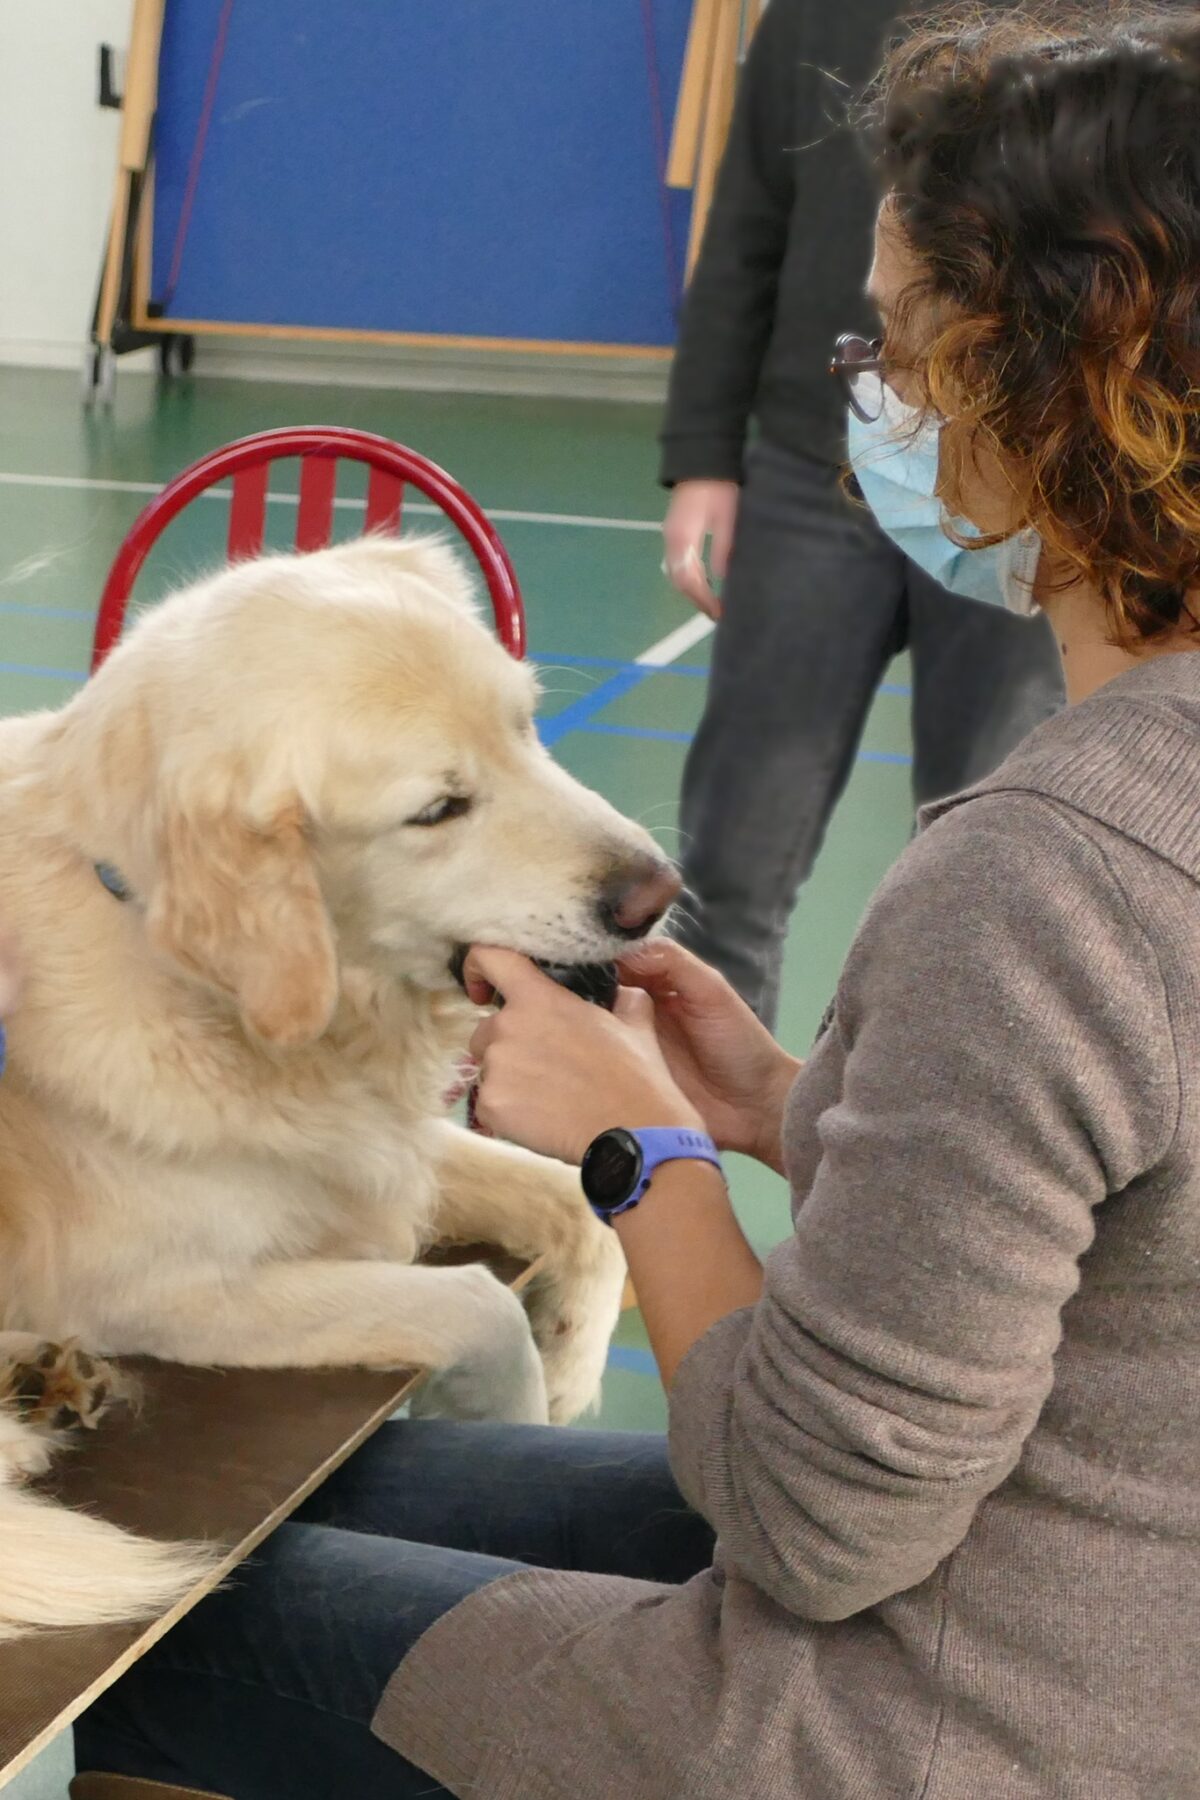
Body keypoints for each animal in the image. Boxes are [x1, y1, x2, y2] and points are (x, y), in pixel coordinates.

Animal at [0, 525, 680, 1641]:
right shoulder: (163, 1290)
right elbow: (477, 1305)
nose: (656, 894)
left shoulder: (374, 1149)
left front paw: (575, 1360)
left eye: (525, 724)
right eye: (438, 810)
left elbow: (580, 1207)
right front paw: (520, 1420)